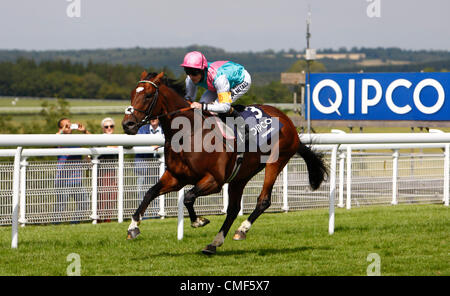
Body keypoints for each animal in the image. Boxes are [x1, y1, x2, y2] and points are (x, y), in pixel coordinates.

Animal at [122, 71, 326, 254]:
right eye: (132, 94)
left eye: (148, 95)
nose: (127, 124)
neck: (189, 133)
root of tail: (288, 121)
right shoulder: (176, 178)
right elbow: (149, 193)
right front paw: (133, 227)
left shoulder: (214, 180)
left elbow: (188, 196)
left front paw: (199, 221)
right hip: (241, 174)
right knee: (234, 209)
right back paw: (214, 243)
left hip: (276, 162)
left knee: (263, 201)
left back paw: (242, 230)